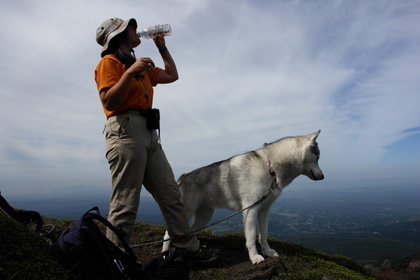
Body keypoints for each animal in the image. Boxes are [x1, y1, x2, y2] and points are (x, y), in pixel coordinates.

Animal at [164, 130, 324, 264]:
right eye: (317, 157)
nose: (323, 177)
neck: (271, 167)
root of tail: (182, 177)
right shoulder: (250, 210)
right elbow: (251, 238)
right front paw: (254, 257)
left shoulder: (264, 210)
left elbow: (263, 235)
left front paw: (267, 252)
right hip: (186, 211)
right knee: (168, 234)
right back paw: (165, 255)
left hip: (205, 217)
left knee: (191, 231)